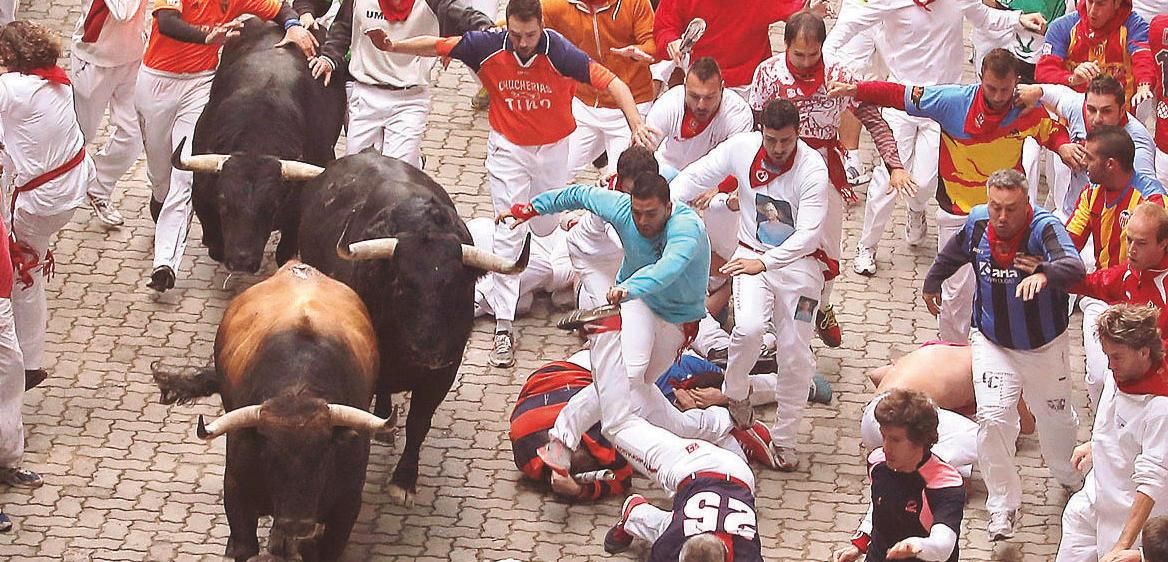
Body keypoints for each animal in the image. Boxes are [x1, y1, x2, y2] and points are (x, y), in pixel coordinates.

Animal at [174, 20, 341, 274]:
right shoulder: (202, 193)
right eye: (224, 202)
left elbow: (286, 252)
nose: (242, 261)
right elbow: (214, 243)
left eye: (271, 206)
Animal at [296, 150, 530, 502]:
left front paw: (404, 480)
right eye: (403, 285)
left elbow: (419, 423)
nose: (429, 351)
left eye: (456, 286)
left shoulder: (442, 373)